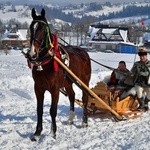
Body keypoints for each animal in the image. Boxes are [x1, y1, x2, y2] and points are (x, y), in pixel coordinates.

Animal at [25, 7, 91, 140]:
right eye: (31, 27)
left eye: (42, 28)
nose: (32, 53)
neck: (46, 61)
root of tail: (84, 52)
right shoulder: (38, 88)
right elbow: (39, 110)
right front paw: (37, 133)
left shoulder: (54, 89)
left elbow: (52, 110)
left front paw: (52, 132)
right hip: (68, 82)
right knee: (72, 96)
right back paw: (70, 119)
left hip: (84, 81)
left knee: (85, 98)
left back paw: (84, 122)